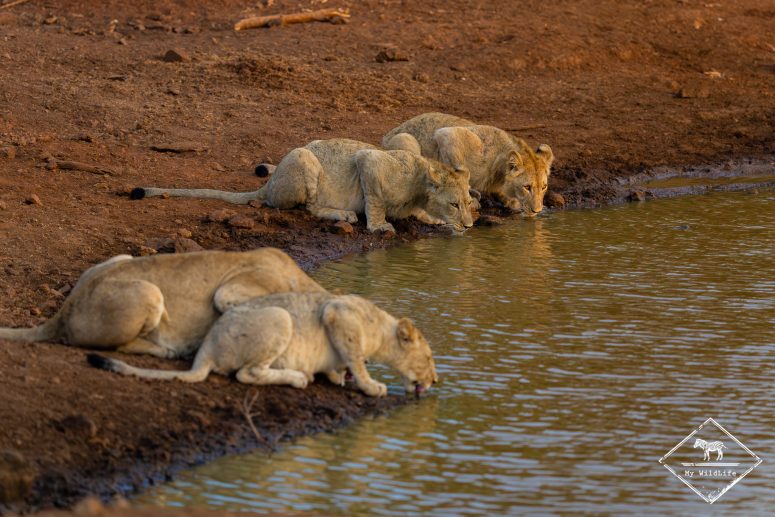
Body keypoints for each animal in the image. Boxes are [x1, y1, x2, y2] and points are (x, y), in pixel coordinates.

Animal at [0, 248, 324, 359]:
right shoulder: (232, 292)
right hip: (149, 293)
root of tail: (65, 309)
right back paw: (170, 350)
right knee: (118, 346)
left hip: (123, 259)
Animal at [87, 292, 438, 397]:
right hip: (280, 318)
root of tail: (207, 348)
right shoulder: (337, 314)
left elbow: (342, 364)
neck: (381, 329)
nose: (436, 380)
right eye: (429, 357)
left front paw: (337, 376)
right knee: (247, 374)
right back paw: (298, 377)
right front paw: (371, 386)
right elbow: (355, 356)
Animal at [131, 139, 474, 234]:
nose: (470, 225)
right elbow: (374, 200)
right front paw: (379, 226)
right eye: (454, 204)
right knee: (308, 208)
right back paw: (341, 215)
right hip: (303, 159)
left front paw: (431, 219)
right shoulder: (370, 161)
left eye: (468, 203)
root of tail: (269, 184)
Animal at [383, 113, 554, 216]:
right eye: (527, 187)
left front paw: (509, 200)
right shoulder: (448, 135)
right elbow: (458, 170)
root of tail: (386, 135)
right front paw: (470, 197)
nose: (537, 211)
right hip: (406, 138)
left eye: (544, 187)